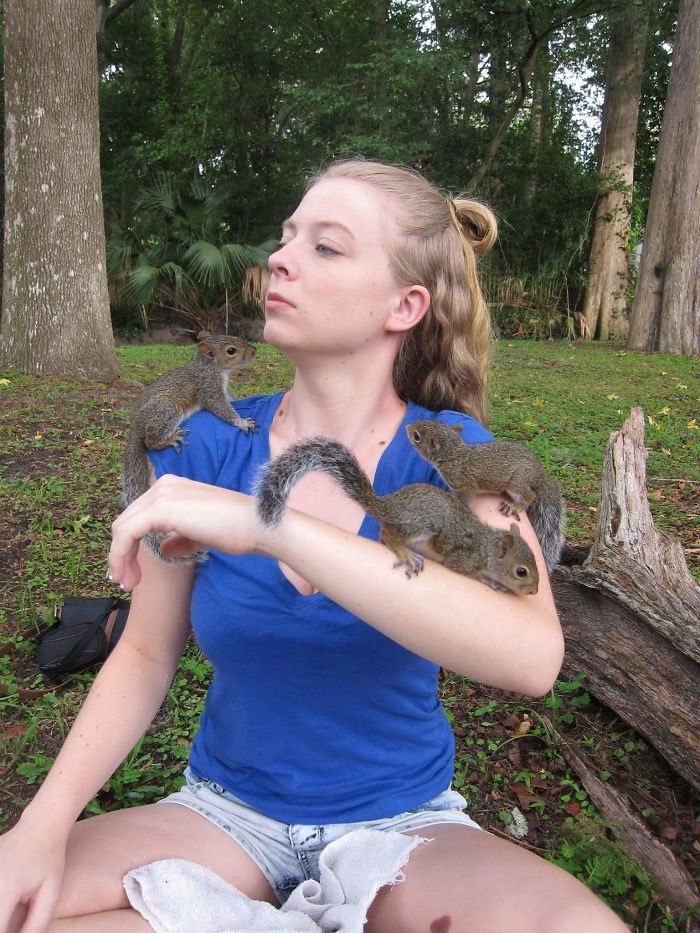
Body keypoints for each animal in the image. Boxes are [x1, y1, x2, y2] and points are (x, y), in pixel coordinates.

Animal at [122, 331, 257, 558]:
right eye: (231, 350)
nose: (254, 351)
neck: (210, 367)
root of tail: (136, 427)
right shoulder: (209, 387)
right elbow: (221, 408)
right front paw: (241, 422)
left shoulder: (223, 389)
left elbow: (231, 399)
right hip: (168, 409)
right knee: (150, 442)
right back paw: (169, 440)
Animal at [254, 437, 539, 596]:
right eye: (521, 572)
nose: (534, 591)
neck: (488, 547)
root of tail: (386, 507)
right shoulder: (464, 558)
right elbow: (465, 570)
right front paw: (491, 582)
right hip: (420, 524)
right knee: (388, 535)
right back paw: (405, 553)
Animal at [406, 420, 566, 573]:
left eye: (417, 436)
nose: (407, 427)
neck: (452, 454)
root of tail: (539, 474)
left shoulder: (464, 483)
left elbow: (466, 498)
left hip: (517, 483)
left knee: (530, 496)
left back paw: (515, 506)